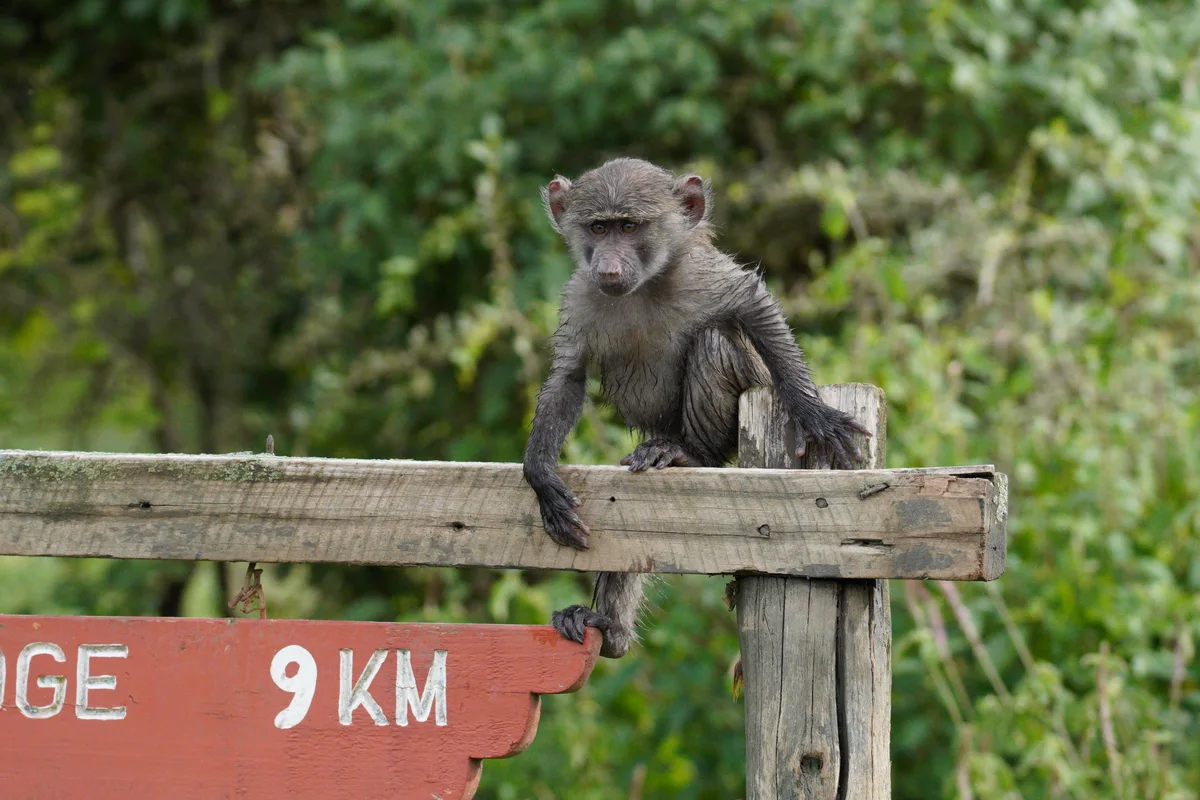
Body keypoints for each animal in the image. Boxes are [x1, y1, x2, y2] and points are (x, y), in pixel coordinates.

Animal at [522, 158, 870, 659]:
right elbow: (567, 380)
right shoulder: (581, 294)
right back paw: (609, 630)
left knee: (713, 341)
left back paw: (688, 454)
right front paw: (540, 474)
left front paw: (814, 413)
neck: (644, 289)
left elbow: (753, 305)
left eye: (629, 226)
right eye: (598, 227)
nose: (608, 266)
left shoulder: (702, 274)